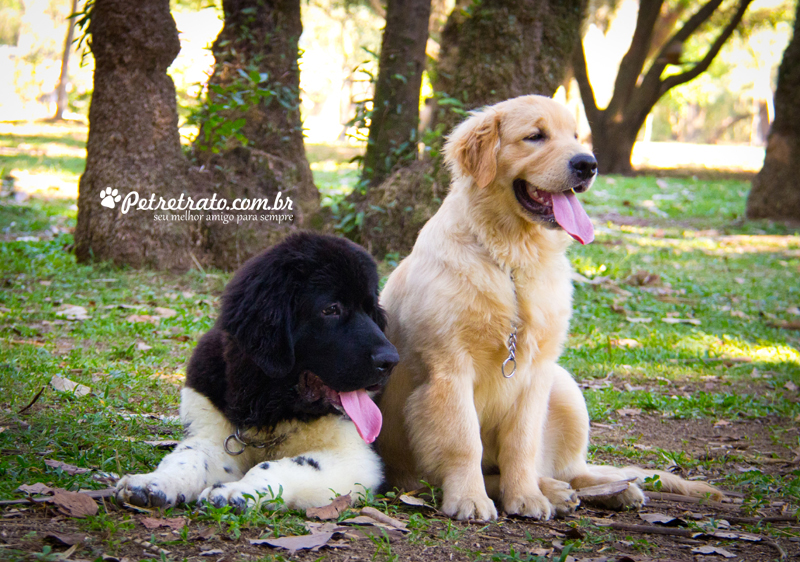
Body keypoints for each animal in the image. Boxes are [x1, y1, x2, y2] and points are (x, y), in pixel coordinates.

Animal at [115, 231, 396, 508]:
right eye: (331, 309)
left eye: (370, 310)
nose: (391, 360)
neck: (270, 405)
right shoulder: (212, 433)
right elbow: (188, 458)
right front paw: (153, 482)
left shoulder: (356, 457)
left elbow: (277, 465)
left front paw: (238, 491)